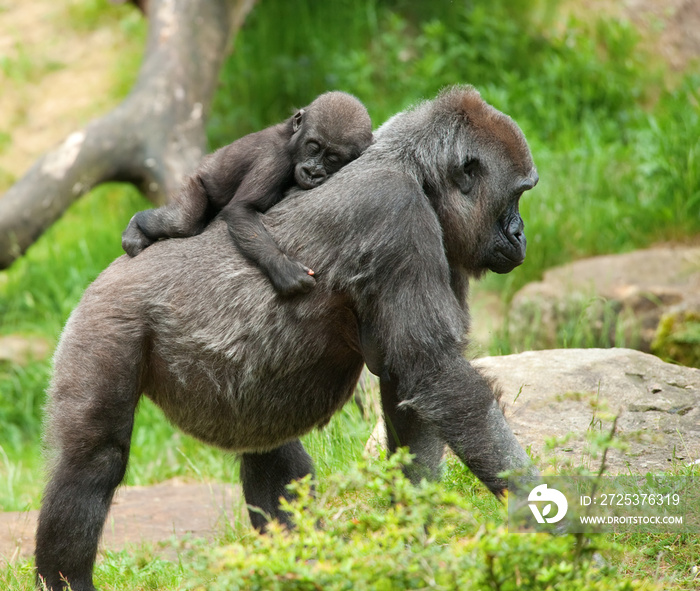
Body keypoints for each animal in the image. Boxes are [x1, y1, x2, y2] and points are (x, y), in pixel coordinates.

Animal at [121, 91, 374, 294]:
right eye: (313, 147)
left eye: (332, 159)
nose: (312, 171)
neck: (292, 140)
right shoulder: (274, 158)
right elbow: (241, 209)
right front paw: (282, 267)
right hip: (197, 179)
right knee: (181, 222)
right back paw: (137, 225)